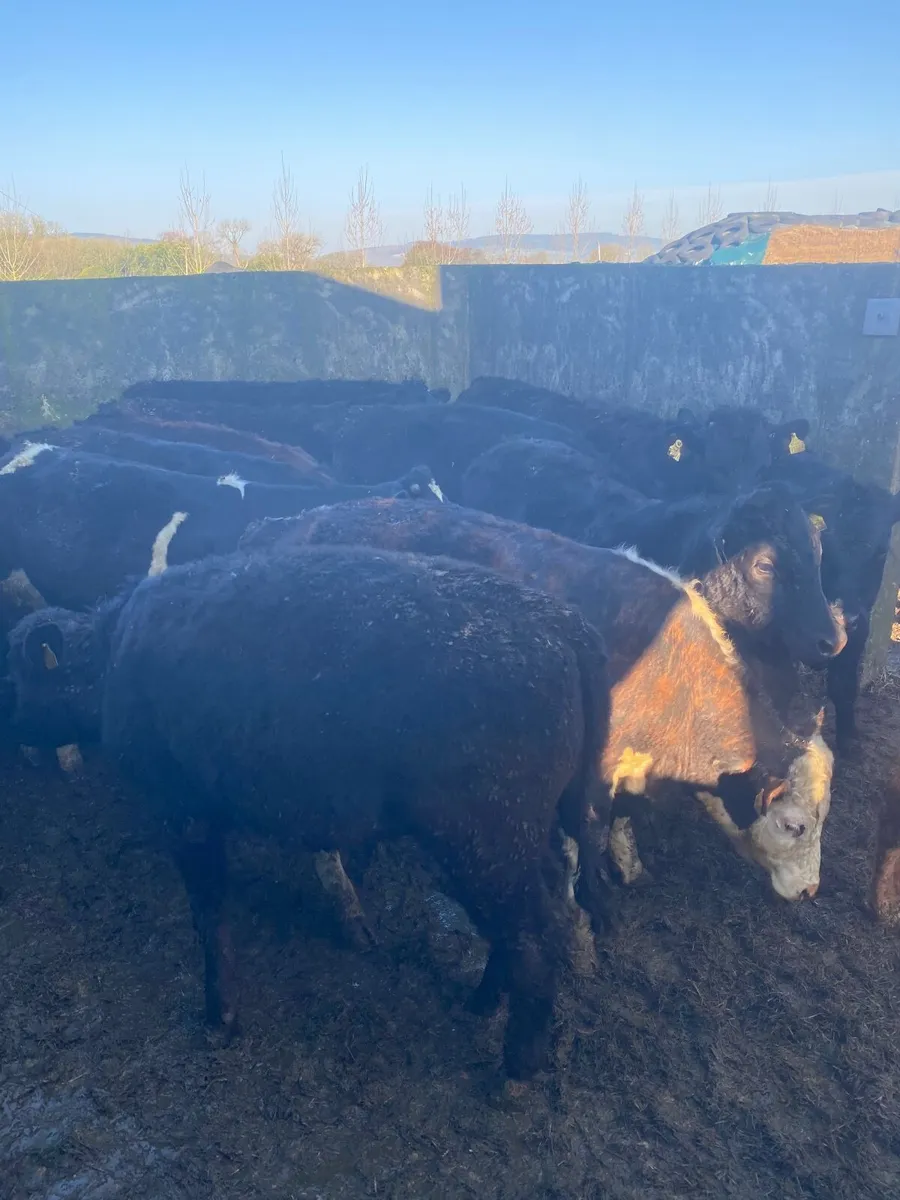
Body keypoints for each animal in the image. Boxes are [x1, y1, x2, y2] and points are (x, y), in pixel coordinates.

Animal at [5, 543, 611, 1082]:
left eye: (10, 676)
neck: (112, 659)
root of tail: (564, 625)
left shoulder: (184, 808)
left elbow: (210, 915)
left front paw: (220, 1017)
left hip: (485, 838)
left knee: (535, 935)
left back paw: (517, 1067)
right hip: (526, 832)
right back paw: (484, 1000)